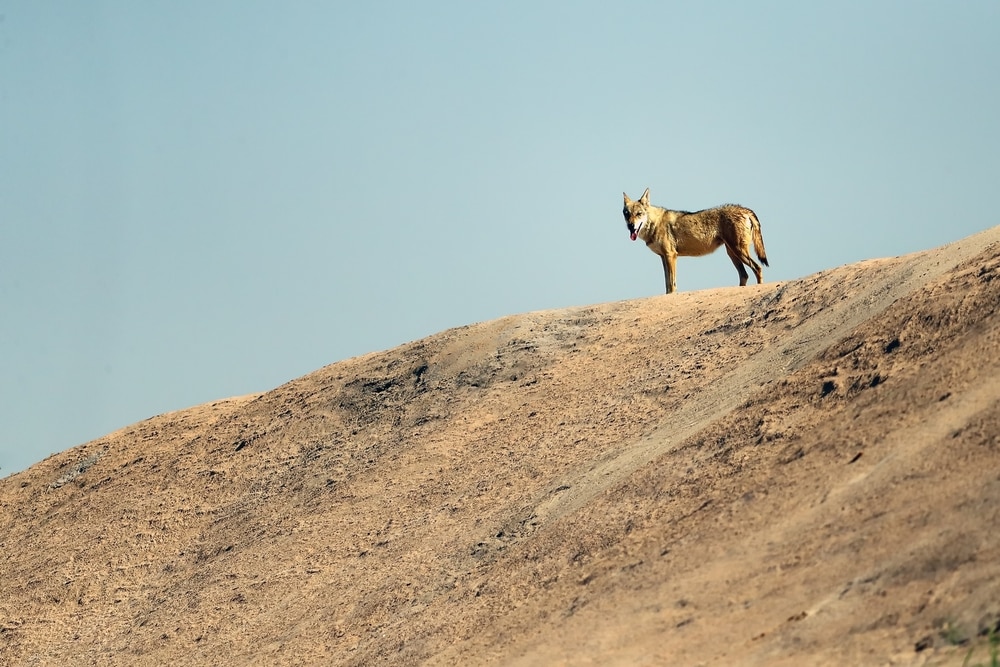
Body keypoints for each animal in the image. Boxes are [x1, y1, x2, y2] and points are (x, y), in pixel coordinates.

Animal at [622, 188, 769, 294]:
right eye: (627, 214)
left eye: (639, 214)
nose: (630, 226)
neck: (655, 223)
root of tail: (745, 209)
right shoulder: (664, 257)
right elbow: (667, 284)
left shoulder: (671, 256)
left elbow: (672, 284)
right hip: (732, 254)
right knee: (744, 275)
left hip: (738, 251)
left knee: (757, 268)